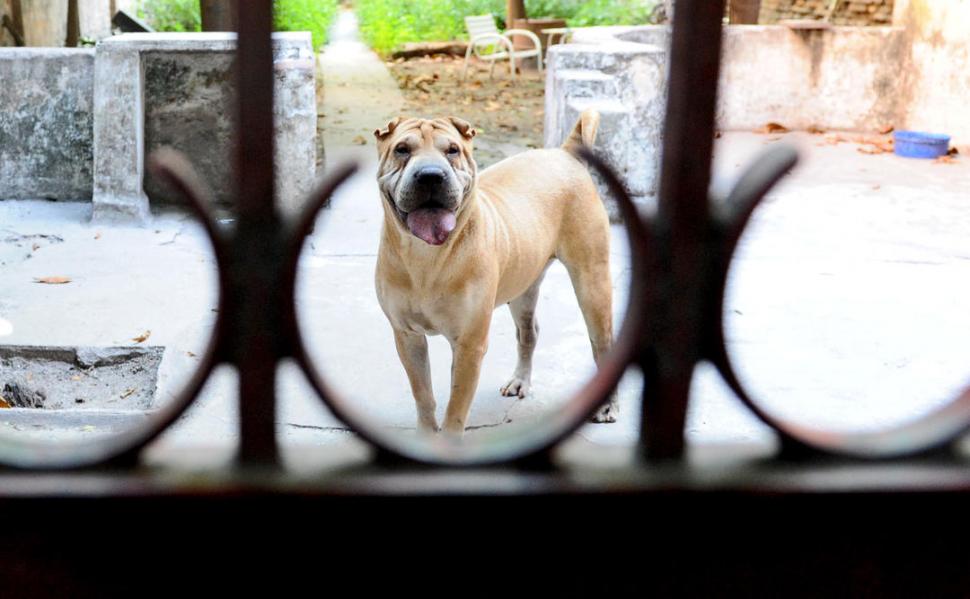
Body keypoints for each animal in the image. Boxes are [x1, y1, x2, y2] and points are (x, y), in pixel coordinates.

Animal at [370, 109, 612, 436]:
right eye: (402, 149)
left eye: (453, 150)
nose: (431, 175)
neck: (426, 257)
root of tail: (566, 152)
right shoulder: (407, 336)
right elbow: (423, 393)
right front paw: (426, 434)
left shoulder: (469, 344)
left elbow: (456, 406)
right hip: (523, 285)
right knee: (528, 332)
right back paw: (520, 380)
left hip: (592, 283)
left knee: (602, 343)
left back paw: (607, 406)